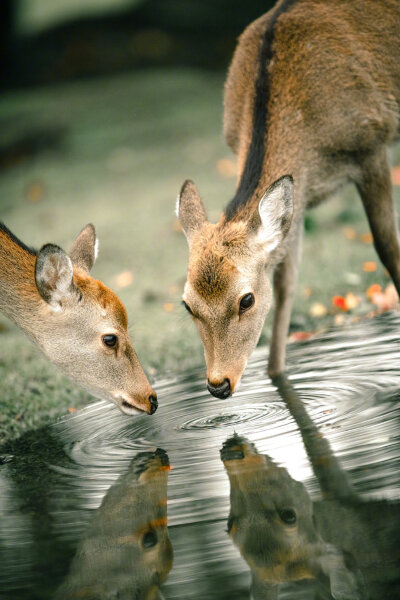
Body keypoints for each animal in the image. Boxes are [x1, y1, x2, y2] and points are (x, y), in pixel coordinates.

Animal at [177, 0, 400, 398]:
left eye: (246, 300)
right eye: (188, 306)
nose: (218, 385)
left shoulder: (372, 143)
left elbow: (388, 246)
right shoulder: (298, 200)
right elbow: (286, 285)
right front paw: (277, 375)